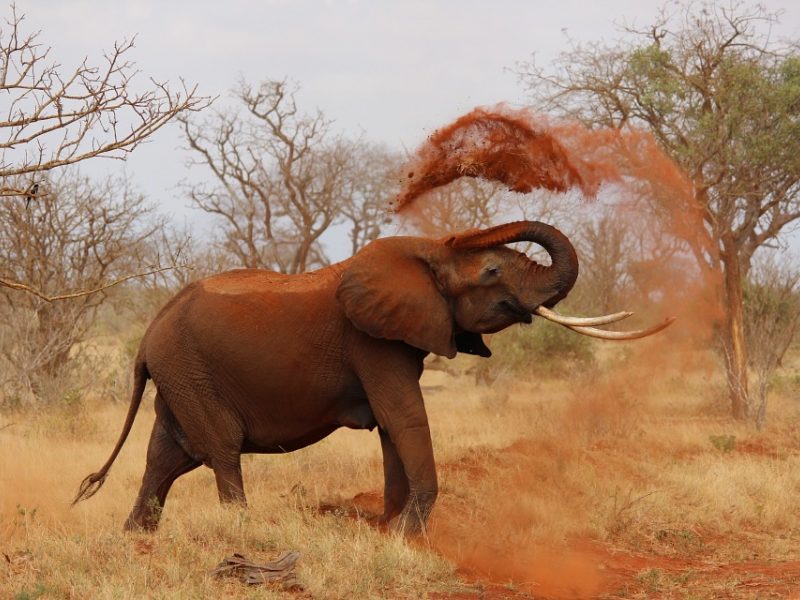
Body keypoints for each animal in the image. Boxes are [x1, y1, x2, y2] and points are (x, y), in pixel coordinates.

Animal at [75, 220, 664, 536]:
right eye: (493, 272)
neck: (425, 253)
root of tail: (148, 333)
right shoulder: (372, 342)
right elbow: (404, 418)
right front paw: (406, 533)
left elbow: (390, 427)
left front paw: (390, 528)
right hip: (190, 370)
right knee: (218, 448)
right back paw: (240, 529)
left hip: (179, 375)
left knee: (167, 456)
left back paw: (137, 540)